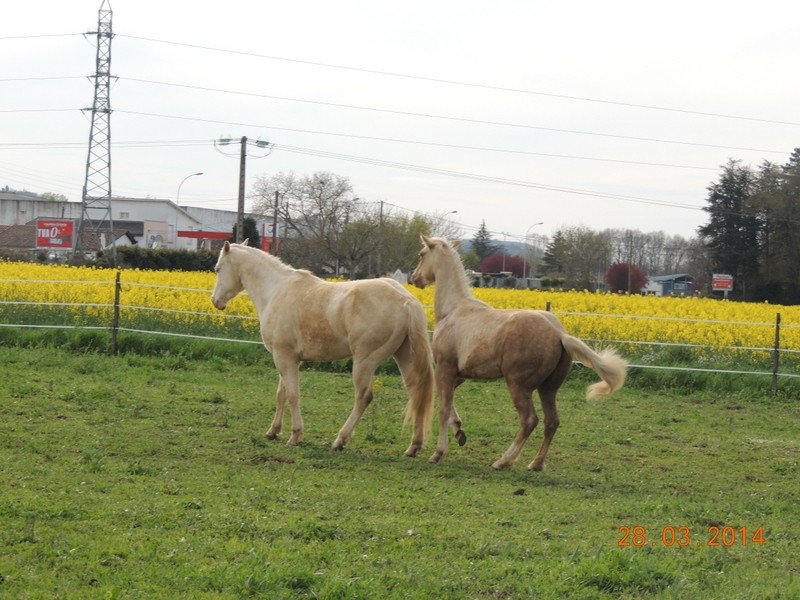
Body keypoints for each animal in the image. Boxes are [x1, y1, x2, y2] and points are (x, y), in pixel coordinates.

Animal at [211, 241, 432, 458]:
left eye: (218, 268)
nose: (215, 301)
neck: (276, 291)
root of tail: (406, 300)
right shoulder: (287, 359)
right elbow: (281, 393)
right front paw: (273, 431)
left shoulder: (284, 357)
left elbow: (292, 395)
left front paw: (295, 436)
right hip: (403, 355)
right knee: (416, 393)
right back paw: (413, 446)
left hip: (365, 361)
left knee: (363, 397)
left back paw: (340, 441)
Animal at [410, 237, 628, 472]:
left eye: (421, 254)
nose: (415, 278)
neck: (453, 310)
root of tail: (559, 334)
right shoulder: (459, 375)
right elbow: (448, 404)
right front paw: (459, 432)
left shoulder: (445, 368)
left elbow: (442, 409)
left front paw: (437, 453)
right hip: (548, 388)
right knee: (552, 422)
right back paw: (535, 463)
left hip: (518, 385)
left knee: (529, 420)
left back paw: (503, 461)